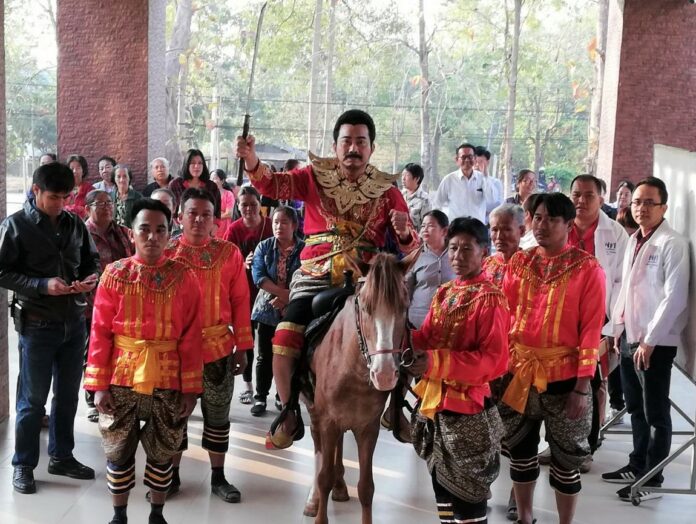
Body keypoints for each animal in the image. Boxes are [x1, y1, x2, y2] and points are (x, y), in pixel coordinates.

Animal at [304, 252, 414, 520]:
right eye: (365, 307)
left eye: (404, 307)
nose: (384, 374)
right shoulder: (328, 420)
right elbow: (323, 477)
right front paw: (320, 503)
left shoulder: (368, 427)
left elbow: (366, 488)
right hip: (316, 410)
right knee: (318, 443)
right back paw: (314, 498)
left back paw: (340, 485)